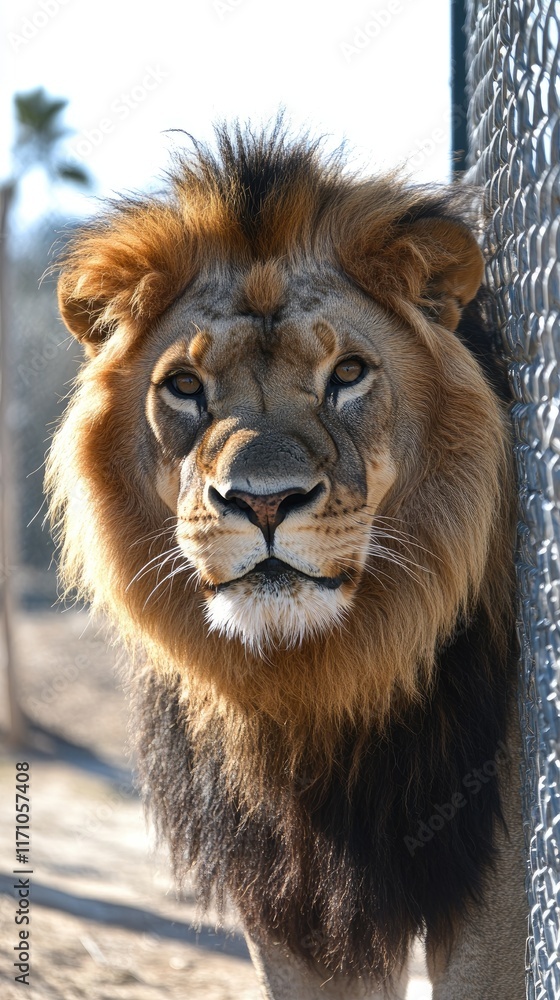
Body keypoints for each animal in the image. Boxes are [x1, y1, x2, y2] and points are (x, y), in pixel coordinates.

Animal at [47, 123, 527, 998]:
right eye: (185, 386)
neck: (317, 682)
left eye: (348, 374)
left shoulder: (492, 871)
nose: (264, 502)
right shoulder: (284, 893)